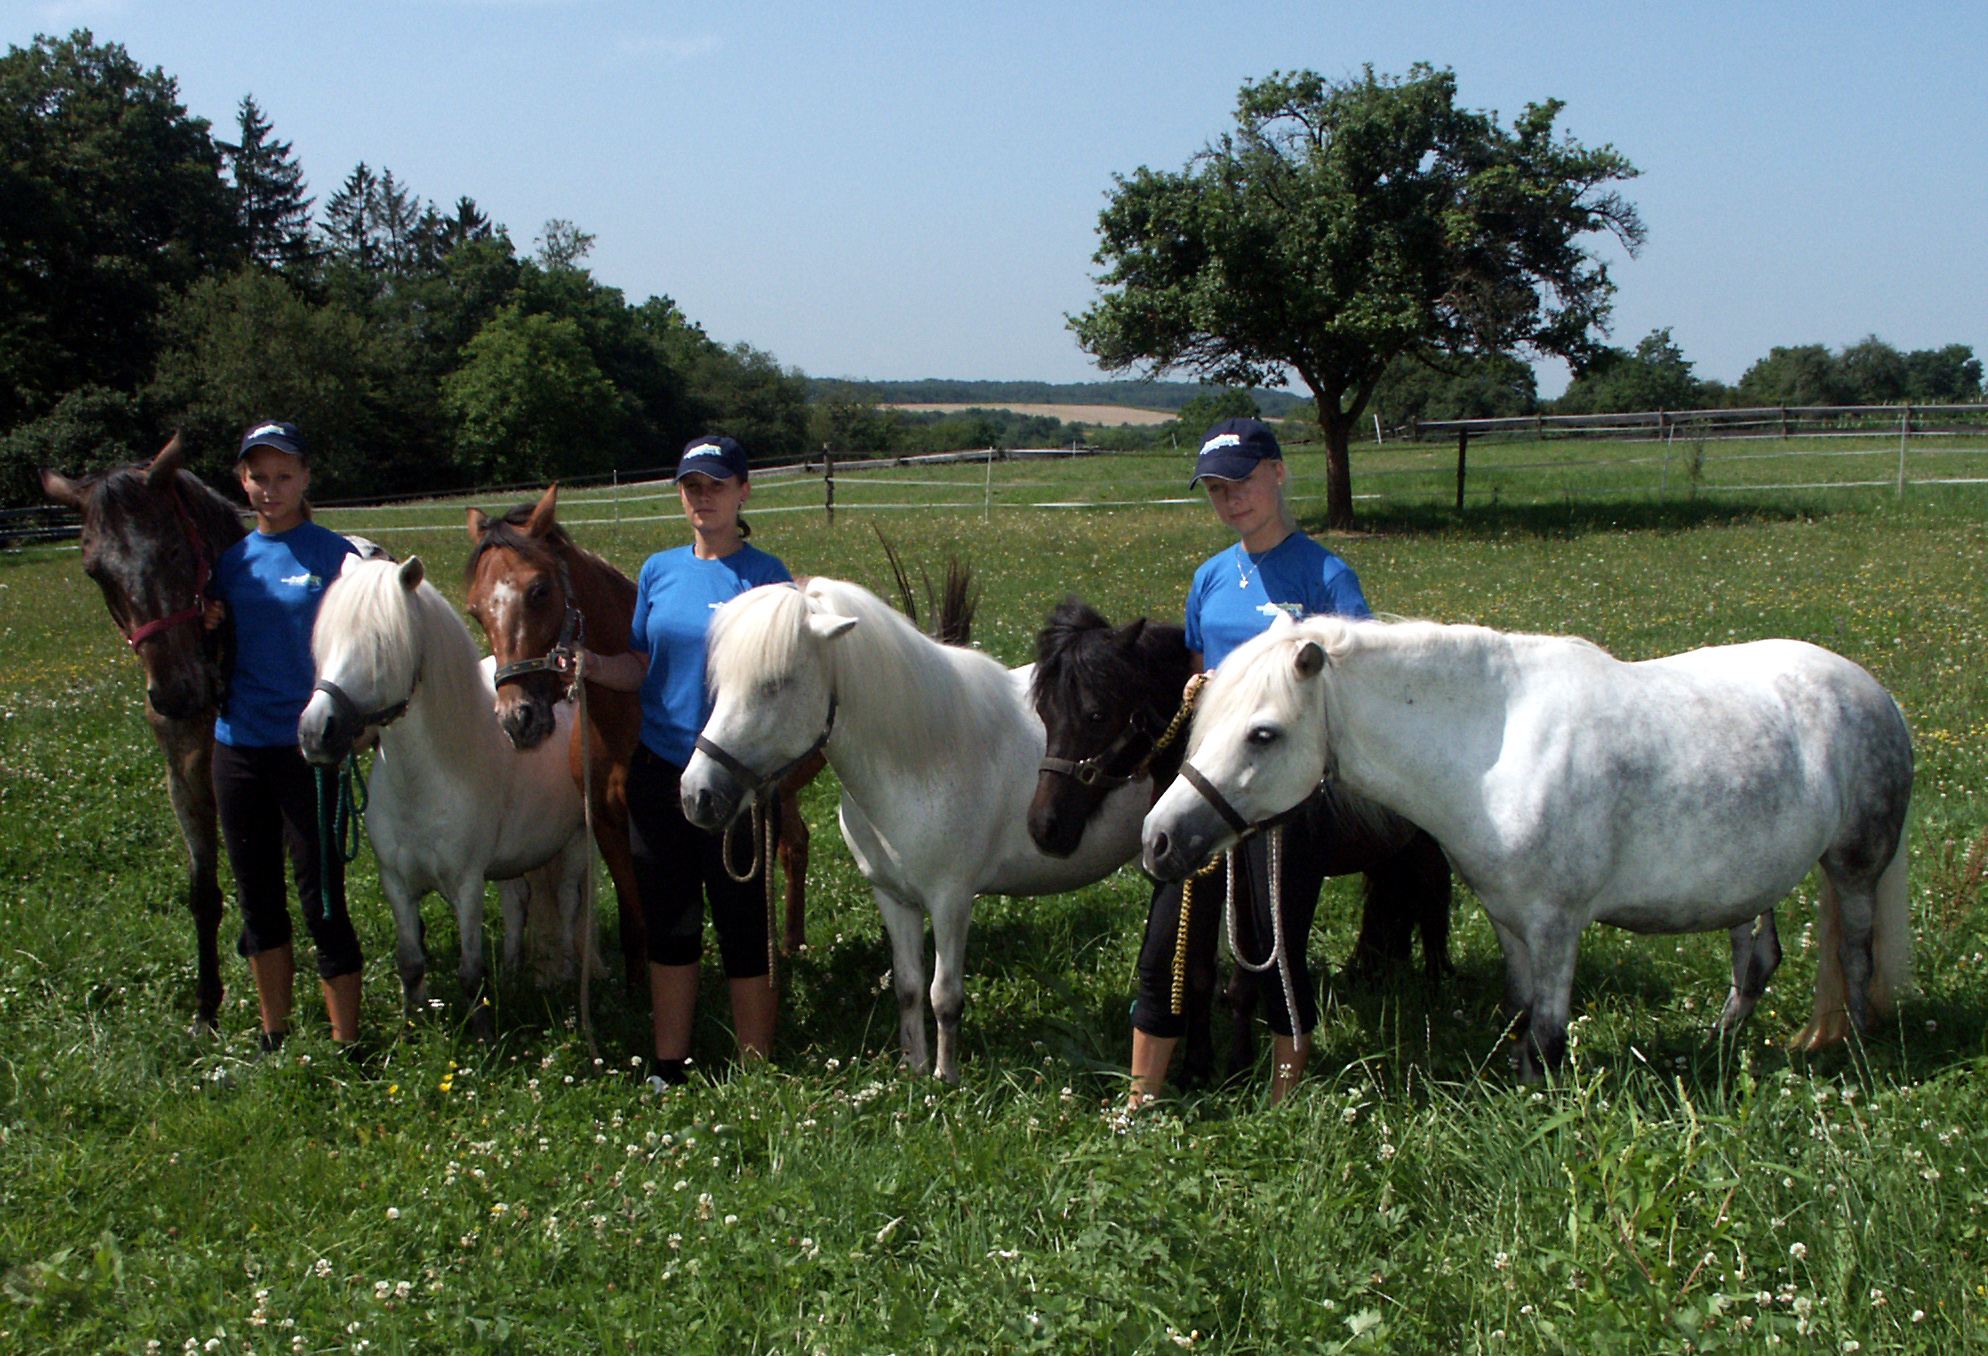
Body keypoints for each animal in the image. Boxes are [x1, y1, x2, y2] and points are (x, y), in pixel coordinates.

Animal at [41, 435, 246, 1032]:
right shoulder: (187, 782)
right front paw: (206, 1007)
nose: (175, 694)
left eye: (175, 550)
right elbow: (205, 892)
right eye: (94, 571)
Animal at [299, 556, 591, 1035]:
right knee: (517, 903)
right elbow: (410, 962)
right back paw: (512, 973)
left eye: (379, 645)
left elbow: (470, 971)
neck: (423, 783)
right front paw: (412, 1027)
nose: (313, 733)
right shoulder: (396, 884)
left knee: (568, 903)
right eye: (326, 642)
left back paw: (566, 974)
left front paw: (483, 1033)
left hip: (575, 843)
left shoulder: (467, 885)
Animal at [679, 577, 1153, 1084]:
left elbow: (944, 995)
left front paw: (947, 1078)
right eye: (721, 683)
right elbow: (907, 985)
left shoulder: (951, 901)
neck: (923, 758)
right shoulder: (893, 897)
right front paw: (915, 1066)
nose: (697, 795)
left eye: (775, 683)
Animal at [1026, 599, 1451, 1084]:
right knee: (1393, 902)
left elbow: (1243, 983)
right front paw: (1196, 1065)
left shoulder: (1248, 887)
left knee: (1433, 898)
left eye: (1095, 714)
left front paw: (1238, 1067)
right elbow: (1196, 973)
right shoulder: (1199, 878)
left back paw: (1436, 981)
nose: (1044, 827)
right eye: (1044, 713)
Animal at [1143, 614, 1914, 1080]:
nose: (1158, 841)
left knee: (1856, 956)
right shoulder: (1508, 919)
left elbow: (1547, 1030)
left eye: (1263, 734)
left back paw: (1858, 1053)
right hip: (1755, 884)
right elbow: (1519, 1014)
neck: (1495, 748)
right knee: (1756, 960)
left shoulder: (1556, 925)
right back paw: (1721, 1044)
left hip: (1854, 869)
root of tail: (1876, 693)